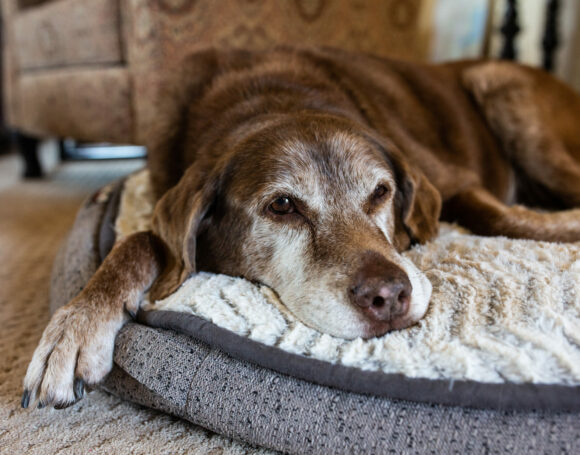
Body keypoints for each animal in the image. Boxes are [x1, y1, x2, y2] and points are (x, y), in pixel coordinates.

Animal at [21, 47, 580, 410]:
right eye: (284, 206)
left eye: (381, 192)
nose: (389, 297)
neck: (271, 99)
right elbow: (142, 241)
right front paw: (75, 327)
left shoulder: (454, 182)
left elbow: (497, 215)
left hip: (508, 96)